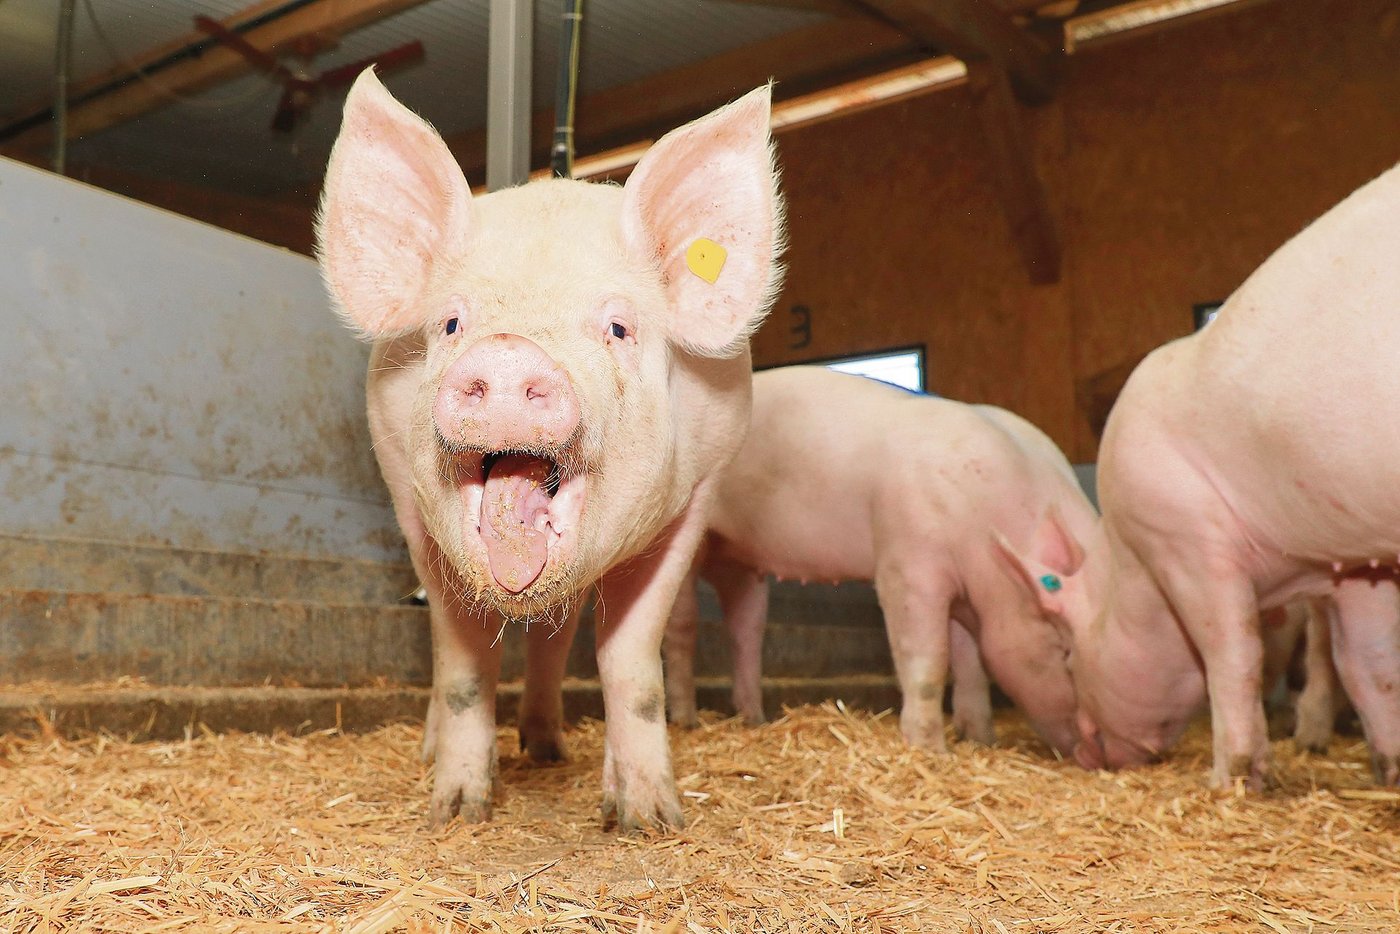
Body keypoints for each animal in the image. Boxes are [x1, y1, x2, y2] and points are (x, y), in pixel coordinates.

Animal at [315, 70, 784, 831]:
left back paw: (549, 750)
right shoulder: (410, 508)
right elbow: (462, 668)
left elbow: (631, 665)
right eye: (451, 322)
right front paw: (456, 812)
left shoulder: (698, 495)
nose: (509, 353)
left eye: (619, 326)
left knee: (555, 641)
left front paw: (650, 821)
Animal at [662, 366, 1099, 756]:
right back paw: (686, 720)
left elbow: (971, 663)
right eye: (1064, 650)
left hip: (740, 559)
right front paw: (933, 752)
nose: (1105, 751)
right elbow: (928, 661)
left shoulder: (964, 591)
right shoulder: (909, 564)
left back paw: (755, 720)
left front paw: (980, 742)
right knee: (682, 628)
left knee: (746, 630)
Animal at [1016, 161, 1400, 789]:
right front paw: (1390, 774)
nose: (1087, 753)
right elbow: (1370, 663)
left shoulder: (1184, 536)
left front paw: (1233, 781)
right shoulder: (1356, 562)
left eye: (1070, 656)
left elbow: (1233, 653)